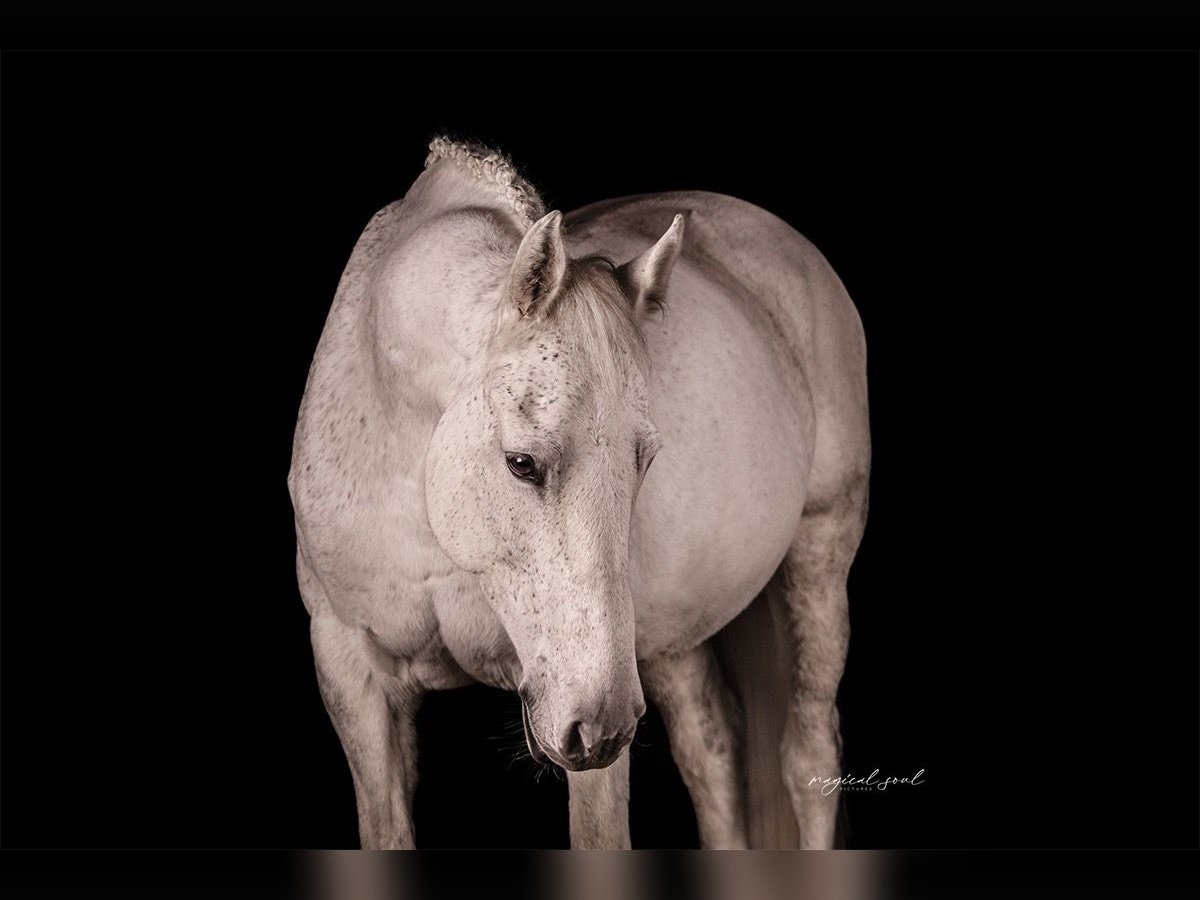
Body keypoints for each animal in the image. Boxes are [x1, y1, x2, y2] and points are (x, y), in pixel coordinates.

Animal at [290, 137, 873, 849]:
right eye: (521, 463)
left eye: (644, 459)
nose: (604, 727)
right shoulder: (353, 676)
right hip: (668, 647)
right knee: (711, 754)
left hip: (820, 555)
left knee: (809, 758)